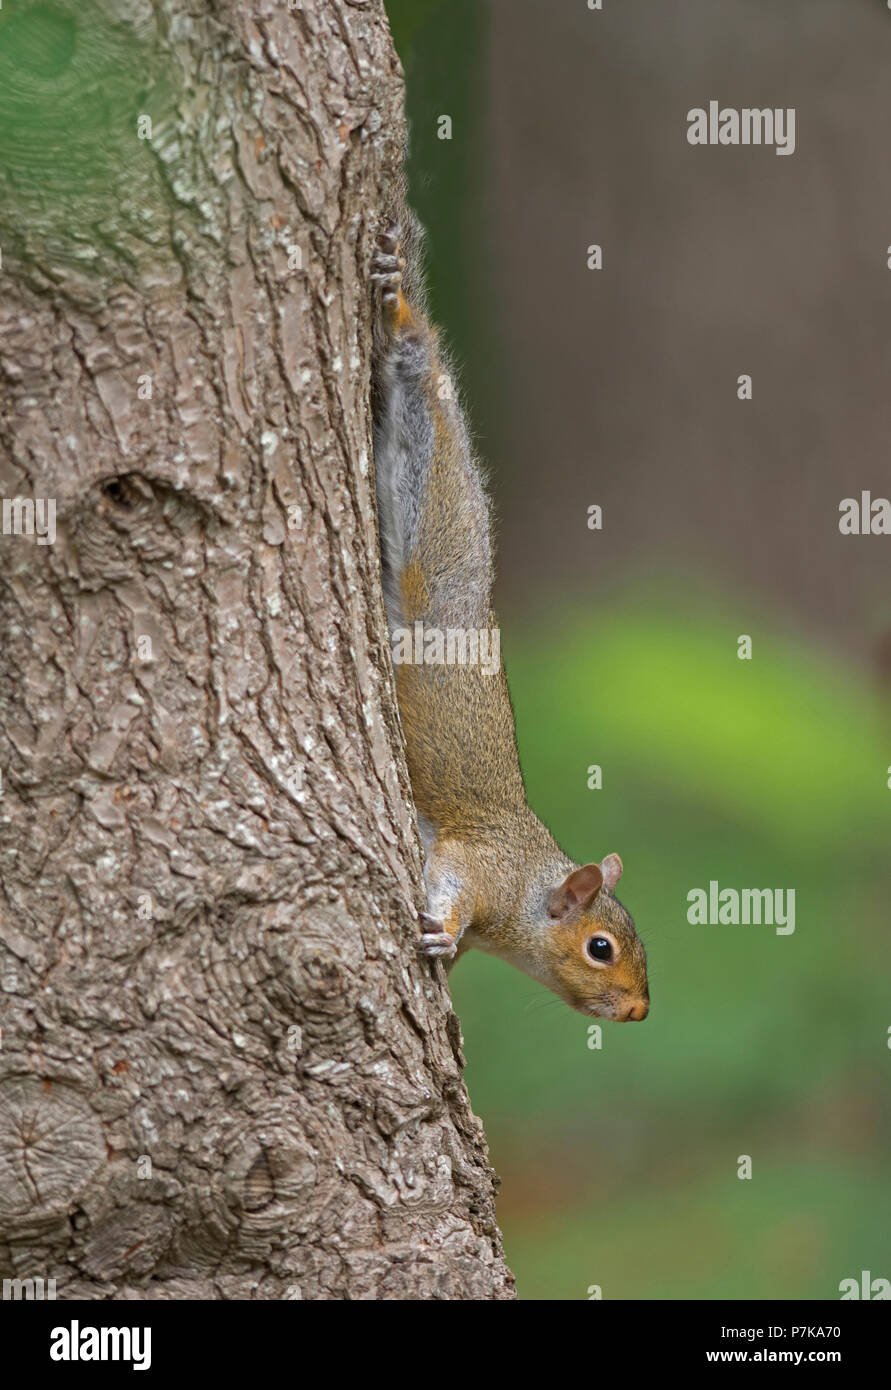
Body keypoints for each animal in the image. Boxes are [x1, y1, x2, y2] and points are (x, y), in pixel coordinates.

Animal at [366, 208, 644, 1023]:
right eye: (600, 948)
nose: (637, 1011)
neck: (523, 890)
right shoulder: (477, 863)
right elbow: (454, 885)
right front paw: (440, 934)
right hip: (437, 537)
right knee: (423, 375)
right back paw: (400, 309)